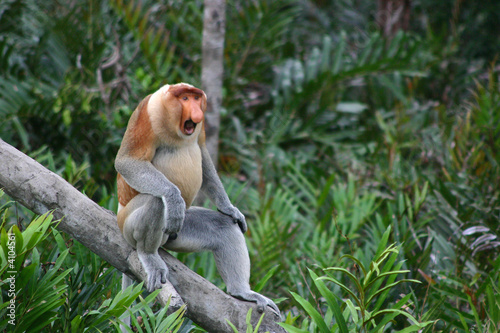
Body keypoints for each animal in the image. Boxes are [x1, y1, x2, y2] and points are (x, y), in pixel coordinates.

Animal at [115, 83, 280, 314]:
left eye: (196, 98)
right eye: (184, 98)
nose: (197, 112)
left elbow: (202, 152)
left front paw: (230, 208)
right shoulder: (147, 113)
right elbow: (127, 160)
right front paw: (173, 197)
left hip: (179, 233)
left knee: (224, 227)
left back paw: (242, 292)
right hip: (127, 223)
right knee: (156, 201)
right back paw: (149, 254)